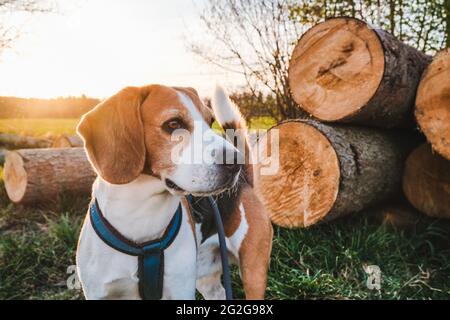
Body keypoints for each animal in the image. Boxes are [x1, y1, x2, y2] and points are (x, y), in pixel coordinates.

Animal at [75, 84, 272, 300]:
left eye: (210, 121)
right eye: (173, 123)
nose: (235, 162)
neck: (142, 215)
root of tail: (245, 181)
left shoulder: (180, 290)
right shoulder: (98, 293)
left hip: (253, 271)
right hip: (205, 276)